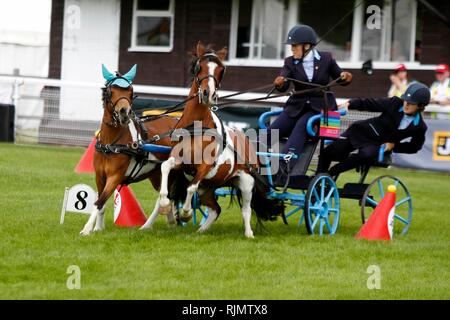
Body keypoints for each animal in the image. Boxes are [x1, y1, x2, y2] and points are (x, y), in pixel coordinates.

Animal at [79, 65, 183, 235]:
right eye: (111, 91)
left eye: (130, 91)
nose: (124, 112)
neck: (111, 143)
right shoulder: (100, 176)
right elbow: (101, 202)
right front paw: (98, 228)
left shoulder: (114, 177)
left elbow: (99, 201)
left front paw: (87, 229)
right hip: (155, 175)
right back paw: (169, 220)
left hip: (172, 171)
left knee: (164, 196)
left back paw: (148, 224)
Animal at [152, 43, 284, 238]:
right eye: (199, 67)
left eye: (221, 70)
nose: (209, 94)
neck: (197, 127)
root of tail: (246, 141)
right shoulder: (179, 160)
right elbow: (165, 167)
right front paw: (164, 203)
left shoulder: (205, 167)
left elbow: (190, 187)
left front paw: (185, 213)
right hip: (208, 187)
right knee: (215, 209)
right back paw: (200, 231)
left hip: (246, 182)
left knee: (246, 209)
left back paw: (249, 233)